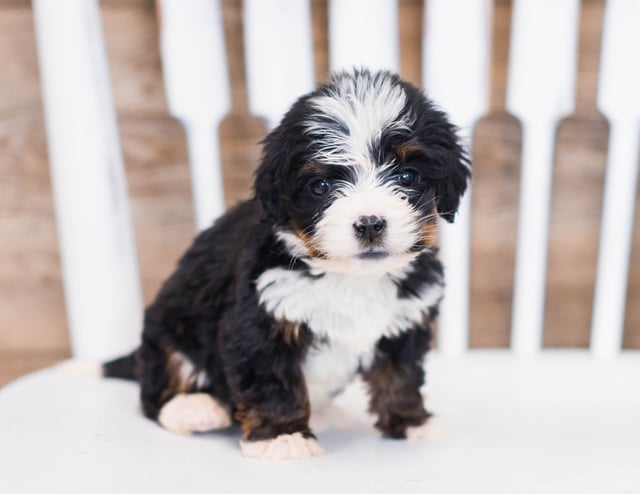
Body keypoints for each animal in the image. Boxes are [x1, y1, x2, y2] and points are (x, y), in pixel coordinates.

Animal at [104, 68, 470, 460]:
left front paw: (412, 422)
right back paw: (193, 408)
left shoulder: (404, 321)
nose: (370, 223)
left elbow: (399, 375)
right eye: (321, 186)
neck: (351, 277)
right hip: (170, 327)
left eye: (407, 176)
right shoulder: (259, 319)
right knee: (161, 383)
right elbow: (272, 380)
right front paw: (283, 436)